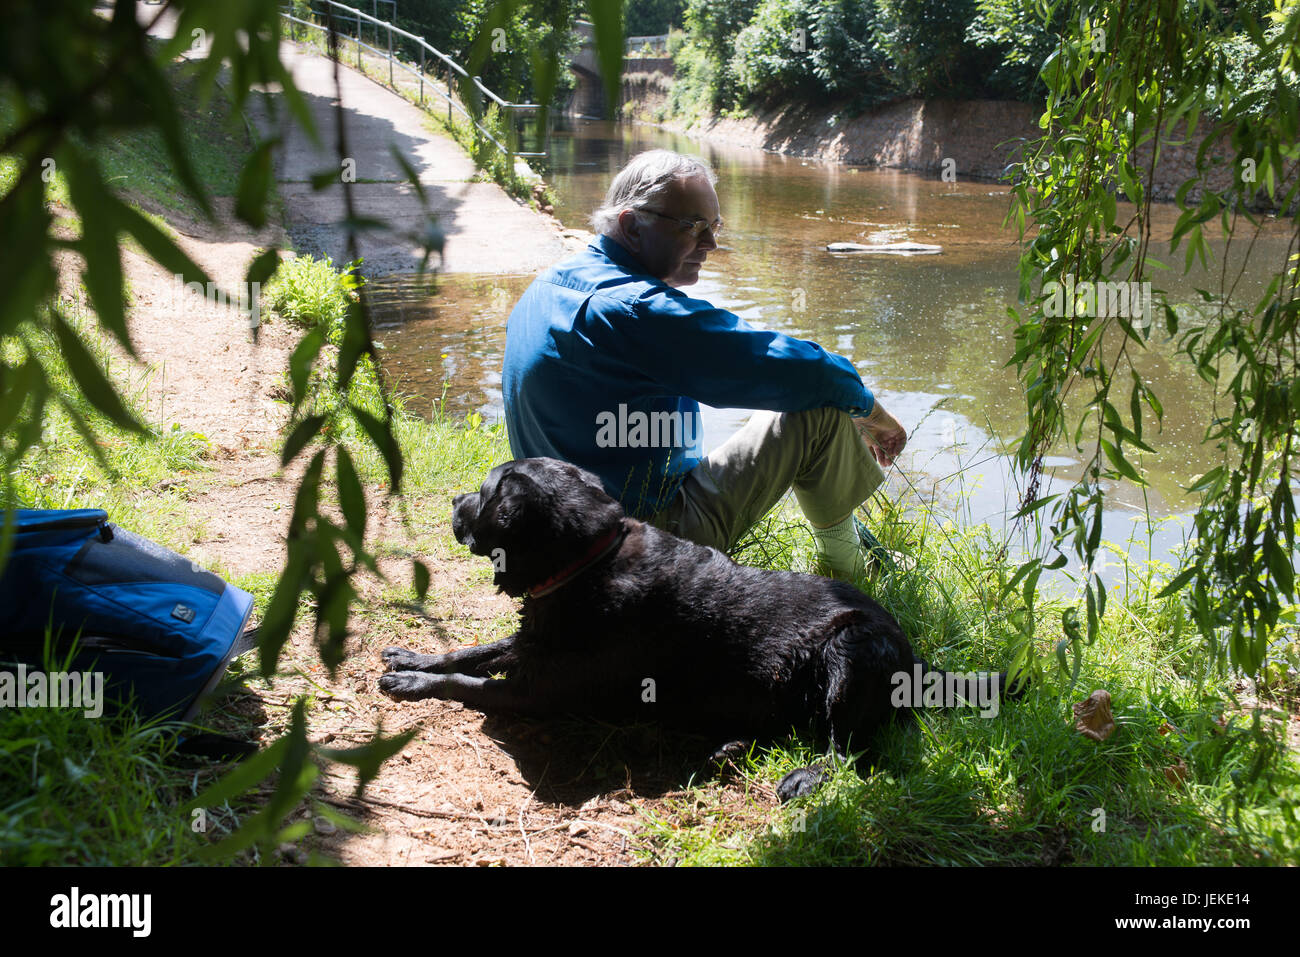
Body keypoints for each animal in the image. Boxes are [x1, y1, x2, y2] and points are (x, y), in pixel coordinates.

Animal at [379, 455, 1013, 800]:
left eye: (484, 493)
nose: (455, 498)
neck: (586, 561)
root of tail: (918, 656)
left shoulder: (543, 692)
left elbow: (471, 683)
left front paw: (413, 683)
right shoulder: (533, 644)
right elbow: (469, 652)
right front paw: (412, 659)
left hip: (849, 651)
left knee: (848, 751)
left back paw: (801, 777)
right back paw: (727, 749)